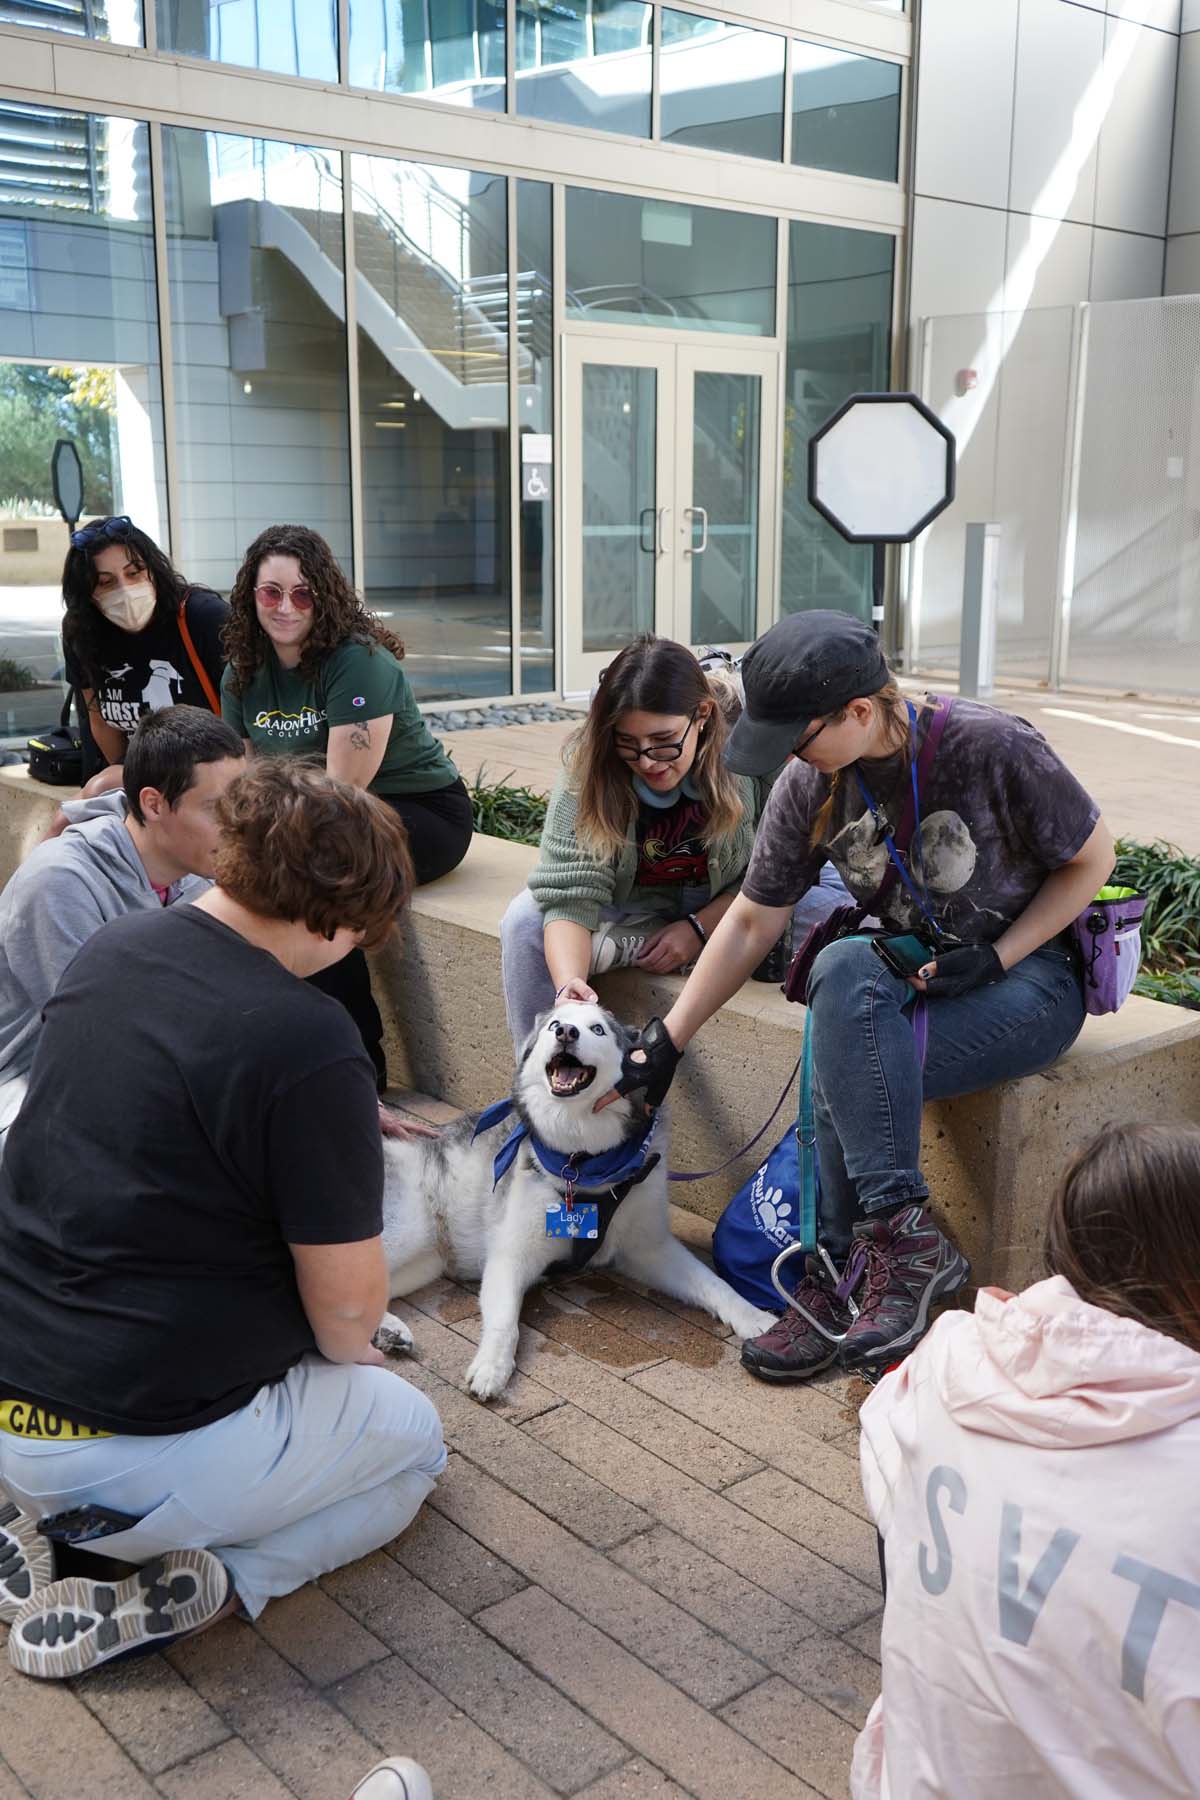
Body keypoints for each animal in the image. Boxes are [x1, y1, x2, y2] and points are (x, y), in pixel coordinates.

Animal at [377, 1008, 780, 1396]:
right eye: (555, 1023)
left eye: (597, 1029)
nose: (566, 1032)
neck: (580, 1164)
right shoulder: (510, 1256)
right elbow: (506, 1323)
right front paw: (492, 1367)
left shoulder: (650, 1247)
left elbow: (714, 1284)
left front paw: (754, 1317)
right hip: (404, 1233)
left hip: (423, 1259)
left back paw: (388, 1331)